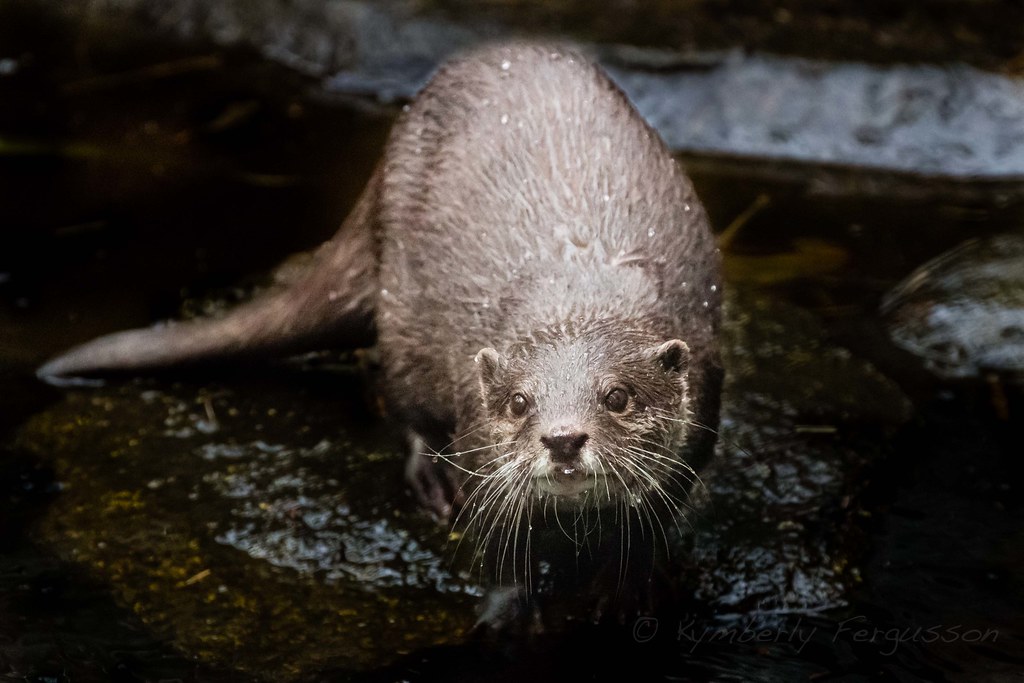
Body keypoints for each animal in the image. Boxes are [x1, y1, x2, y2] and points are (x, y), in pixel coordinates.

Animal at [40, 42, 722, 617]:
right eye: (518, 403)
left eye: (618, 396)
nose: (561, 439)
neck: (577, 287)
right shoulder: (476, 435)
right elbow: (497, 550)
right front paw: (507, 609)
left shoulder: (697, 431)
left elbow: (649, 536)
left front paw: (625, 593)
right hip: (403, 317)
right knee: (399, 393)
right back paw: (430, 478)